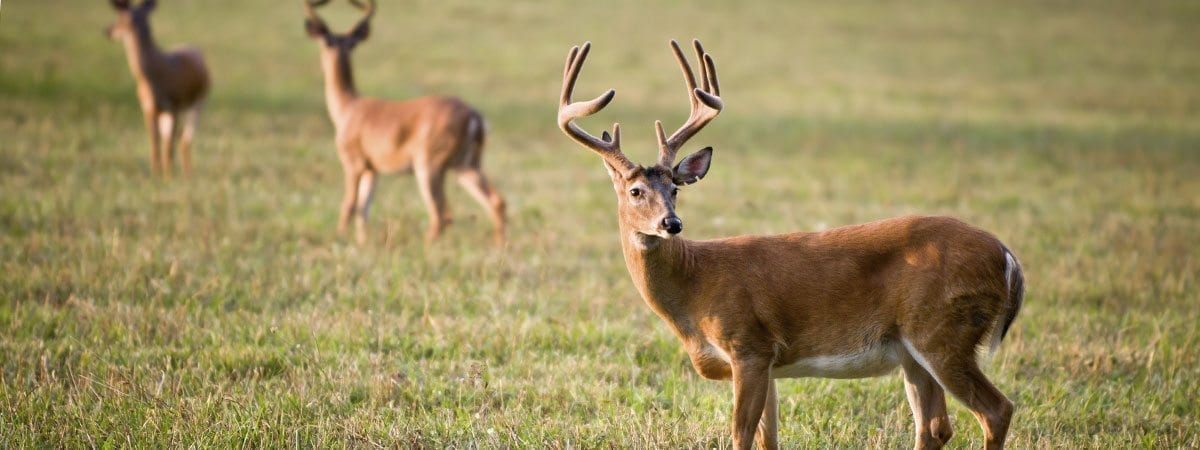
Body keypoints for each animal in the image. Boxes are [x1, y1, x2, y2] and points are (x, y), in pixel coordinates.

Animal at [104, 0, 210, 178]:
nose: (107, 31)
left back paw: (187, 174)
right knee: (177, 139)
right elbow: (154, 144)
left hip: (197, 103)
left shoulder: (173, 105)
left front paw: (169, 177)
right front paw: (155, 175)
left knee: (184, 140)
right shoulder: (148, 108)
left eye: (121, 18)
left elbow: (168, 148)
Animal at [304, 0, 506, 247]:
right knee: (495, 201)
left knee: (441, 214)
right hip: (466, 164)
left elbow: (349, 204)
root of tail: (475, 117)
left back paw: (426, 246)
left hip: (429, 162)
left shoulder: (353, 160)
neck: (347, 107)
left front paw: (339, 239)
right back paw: (500, 246)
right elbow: (363, 208)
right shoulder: (373, 169)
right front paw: (362, 243)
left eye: (330, 42)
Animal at [556, 39, 1027, 450]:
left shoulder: (749, 344)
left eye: (675, 188)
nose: (671, 223)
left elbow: (741, 435)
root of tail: (1008, 258)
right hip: (914, 351)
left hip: (943, 331)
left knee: (995, 410)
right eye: (636, 191)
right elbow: (769, 438)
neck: (695, 286)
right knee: (935, 426)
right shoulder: (767, 364)